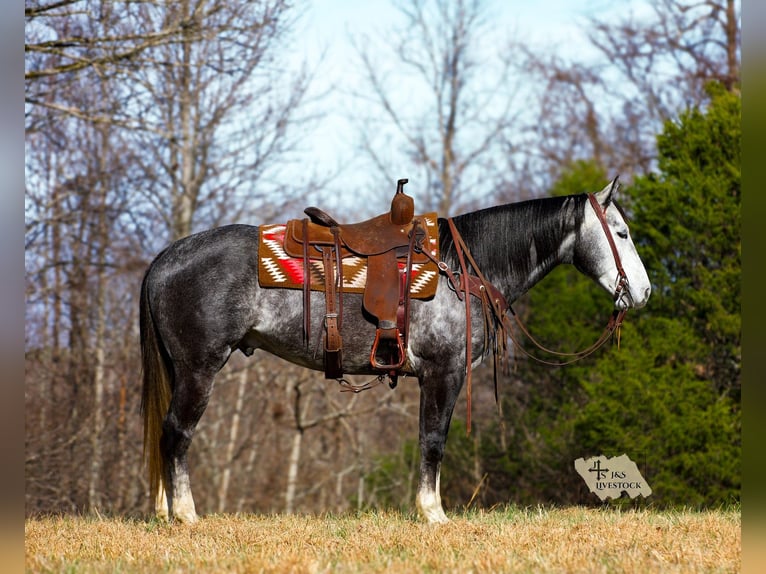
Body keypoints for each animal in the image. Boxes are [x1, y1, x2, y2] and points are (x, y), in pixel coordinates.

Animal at [140, 178, 651, 524]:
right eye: (622, 233)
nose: (644, 292)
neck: (462, 270)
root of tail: (166, 258)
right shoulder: (443, 373)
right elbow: (433, 441)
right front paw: (433, 513)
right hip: (199, 369)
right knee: (177, 433)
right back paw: (185, 515)